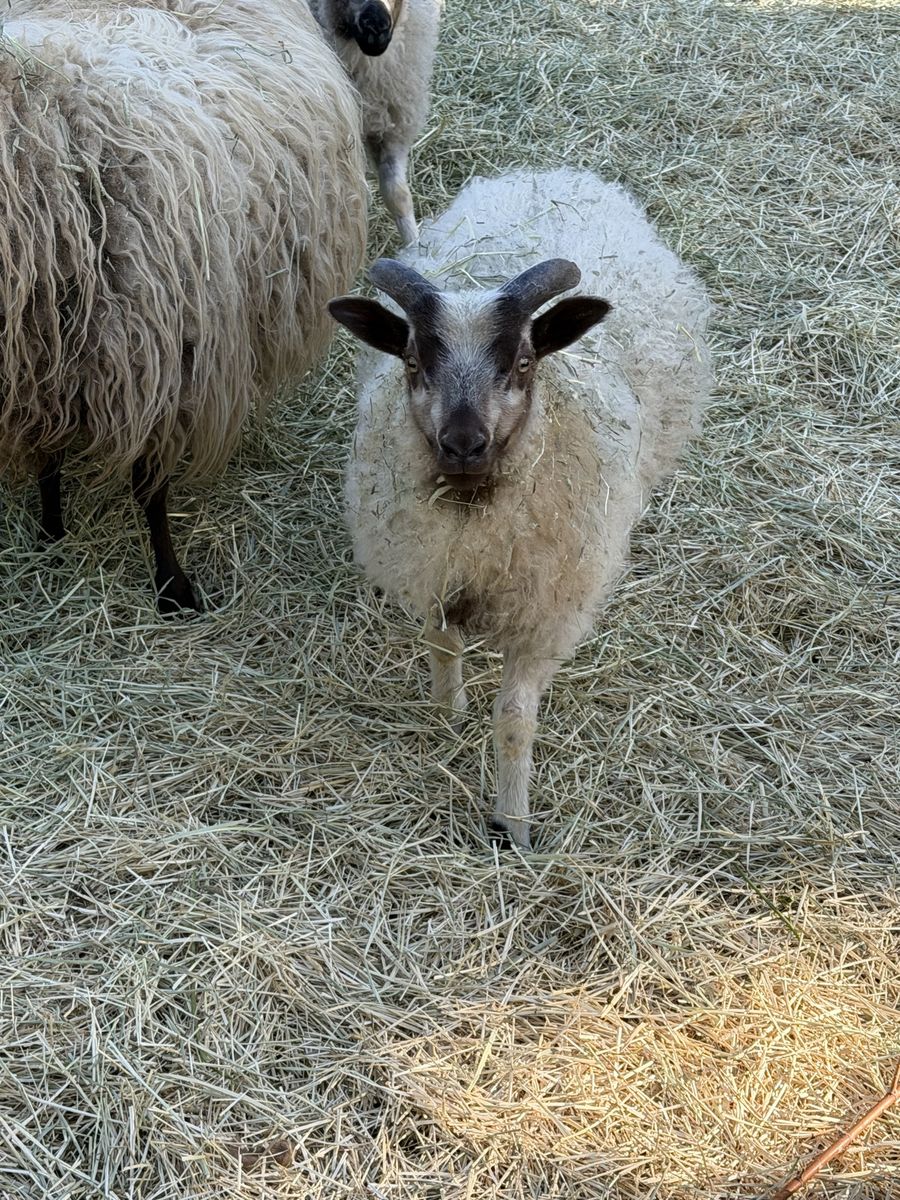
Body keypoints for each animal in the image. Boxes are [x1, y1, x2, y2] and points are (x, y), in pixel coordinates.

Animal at [329, 168, 713, 849]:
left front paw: (512, 823)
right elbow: (442, 645)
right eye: (412, 362)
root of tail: (550, 174)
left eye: (524, 362)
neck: (472, 515)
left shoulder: (545, 614)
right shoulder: (434, 571)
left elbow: (512, 720)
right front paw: (447, 712)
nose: (463, 443)